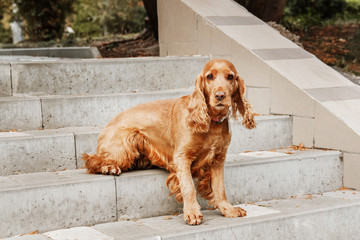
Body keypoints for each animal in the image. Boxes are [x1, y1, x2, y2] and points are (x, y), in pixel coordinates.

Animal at [82, 58, 256, 225]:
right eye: (210, 76)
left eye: (230, 77)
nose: (220, 95)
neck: (212, 122)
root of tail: (107, 125)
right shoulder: (182, 157)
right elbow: (188, 187)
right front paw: (192, 212)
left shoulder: (218, 159)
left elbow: (220, 188)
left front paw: (228, 209)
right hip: (125, 145)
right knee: (93, 159)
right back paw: (109, 167)